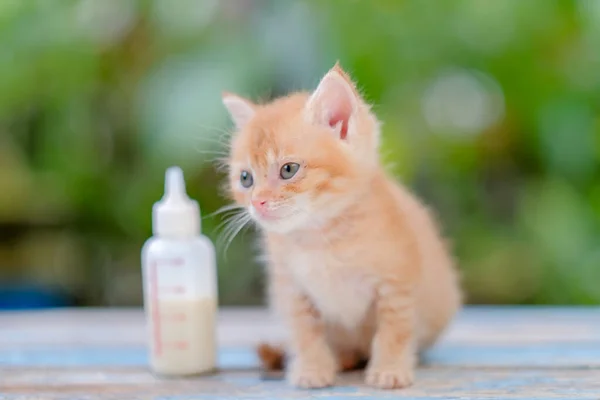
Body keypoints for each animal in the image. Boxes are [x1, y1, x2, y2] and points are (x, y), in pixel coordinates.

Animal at [220, 64, 460, 390]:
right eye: (245, 179)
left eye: (288, 170)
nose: (257, 202)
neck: (321, 236)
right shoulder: (291, 289)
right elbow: (306, 332)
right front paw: (312, 369)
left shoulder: (397, 282)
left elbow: (394, 329)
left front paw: (390, 369)